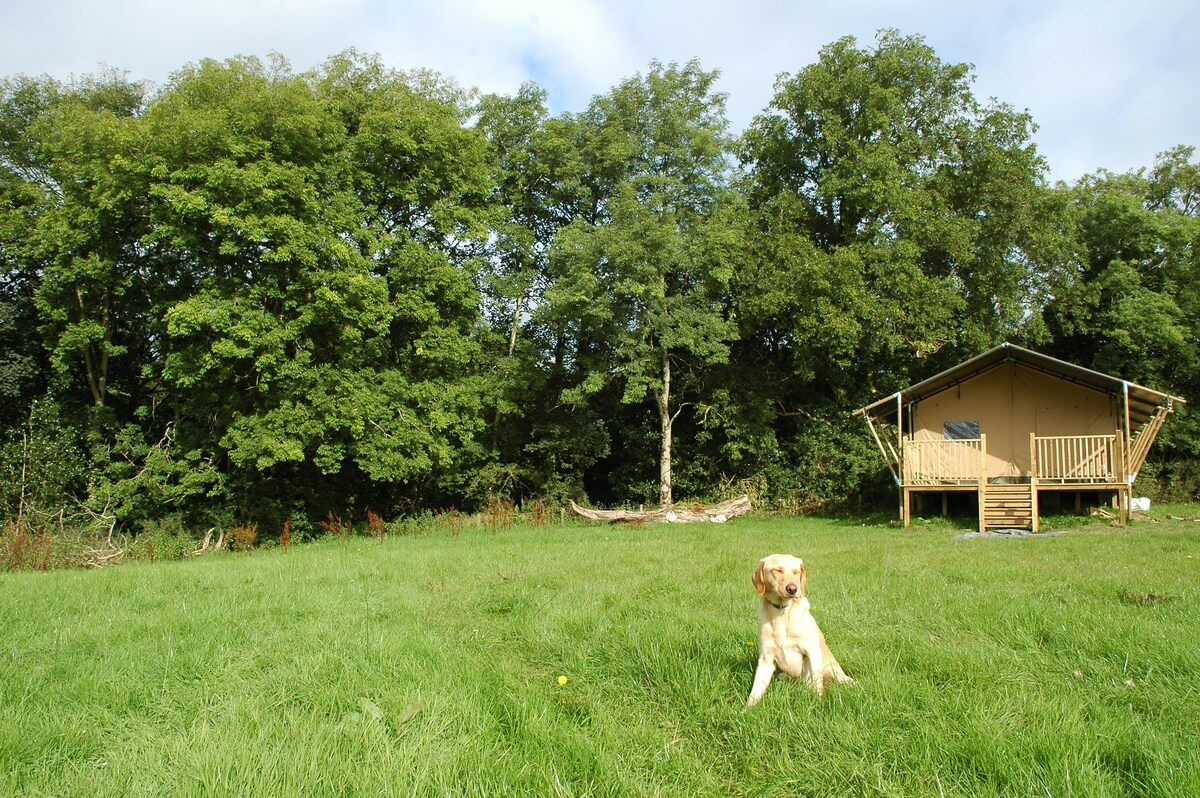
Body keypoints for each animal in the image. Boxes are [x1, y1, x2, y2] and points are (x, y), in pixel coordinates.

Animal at [739, 554, 854, 705]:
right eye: (778, 570)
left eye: (796, 572)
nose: (792, 589)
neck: (781, 611)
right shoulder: (766, 659)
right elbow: (756, 690)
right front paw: (747, 708)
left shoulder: (812, 652)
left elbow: (817, 684)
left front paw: (817, 702)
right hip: (783, 675)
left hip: (833, 671)